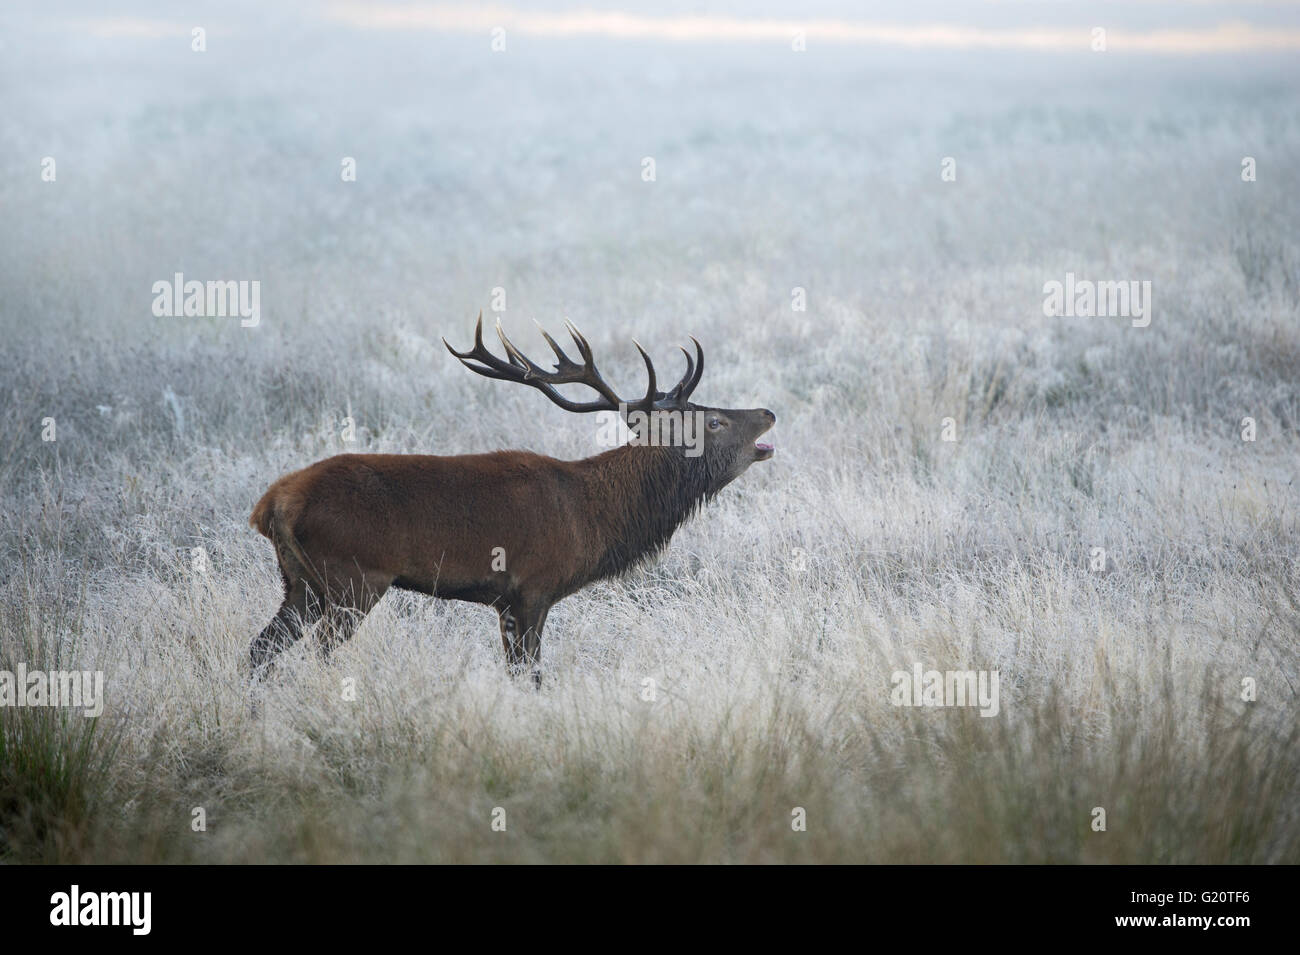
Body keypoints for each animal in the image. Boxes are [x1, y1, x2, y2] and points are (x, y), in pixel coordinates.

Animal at [248, 314, 775, 687]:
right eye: (714, 423)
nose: (768, 412)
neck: (595, 519)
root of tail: (270, 505)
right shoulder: (532, 588)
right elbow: (531, 677)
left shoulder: (504, 602)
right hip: (352, 579)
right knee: (315, 658)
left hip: (300, 584)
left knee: (258, 653)